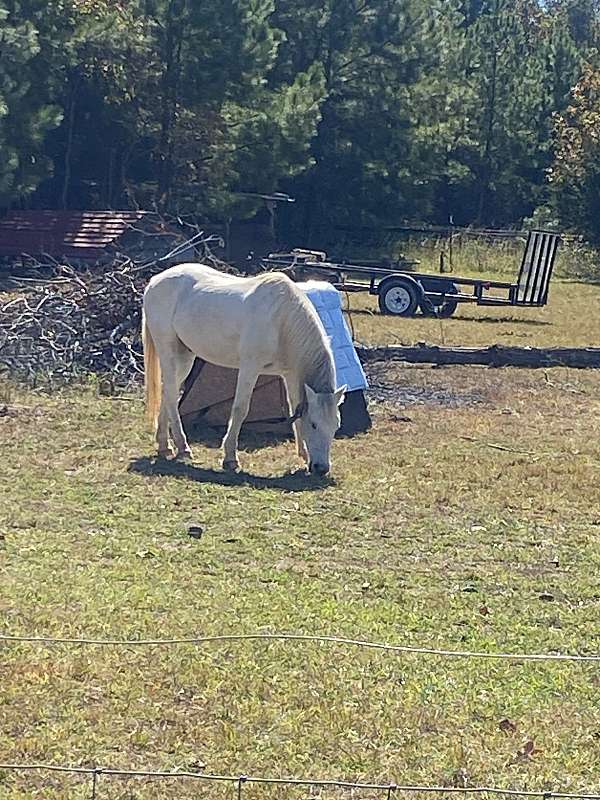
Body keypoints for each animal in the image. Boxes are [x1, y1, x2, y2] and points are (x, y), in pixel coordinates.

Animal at [142, 262, 346, 476]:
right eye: (314, 424)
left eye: (336, 426)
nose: (321, 468)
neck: (281, 320)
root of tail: (154, 281)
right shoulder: (250, 368)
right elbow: (240, 409)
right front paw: (230, 459)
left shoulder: (290, 374)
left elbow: (295, 408)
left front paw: (304, 455)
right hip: (169, 352)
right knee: (171, 394)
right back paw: (183, 447)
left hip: (185, 357)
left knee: (168, 393)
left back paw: (164, 446)